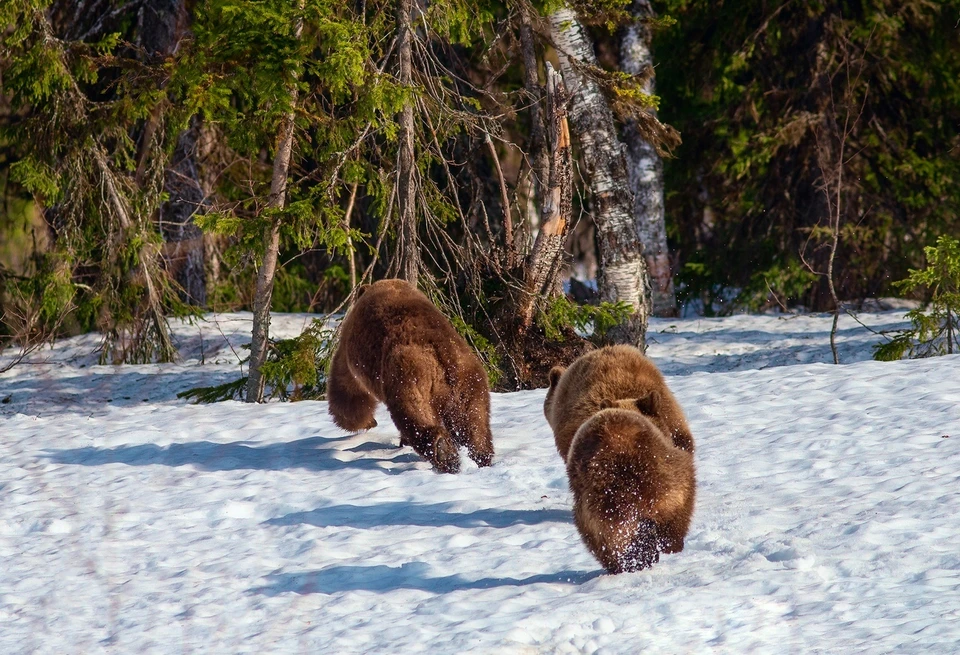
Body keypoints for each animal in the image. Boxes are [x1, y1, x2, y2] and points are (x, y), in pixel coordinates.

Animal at [328, 280, 496, 474]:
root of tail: (443, 354)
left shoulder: (350, 355)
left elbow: (347, 393)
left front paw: (369, 422)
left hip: (409, 377)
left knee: (413, 413)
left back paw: (443, 453)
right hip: (468, 380)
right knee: (474, 422)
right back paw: (480, 458)